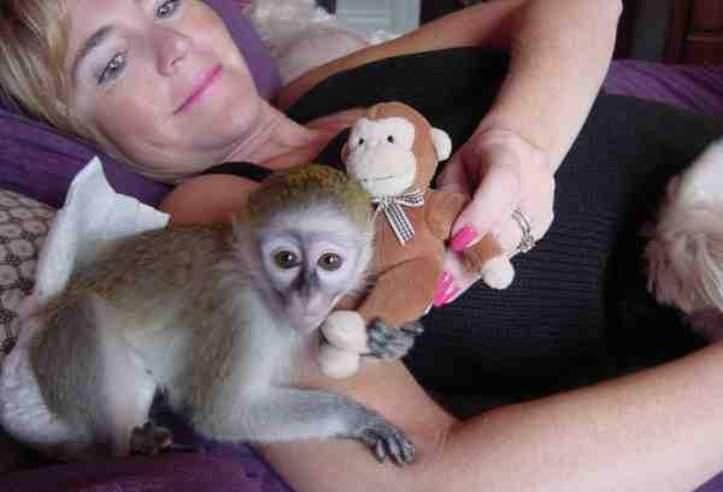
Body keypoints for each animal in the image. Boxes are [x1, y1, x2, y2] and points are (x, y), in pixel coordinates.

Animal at [0, 165, 417, 465]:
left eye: (330, 262)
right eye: (286, 259)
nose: (307, 295)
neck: (251, 275)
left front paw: (382, 343)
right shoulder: (241, 312)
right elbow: (223, 413)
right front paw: (356, 417)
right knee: (85, 312)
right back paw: (121, 447)